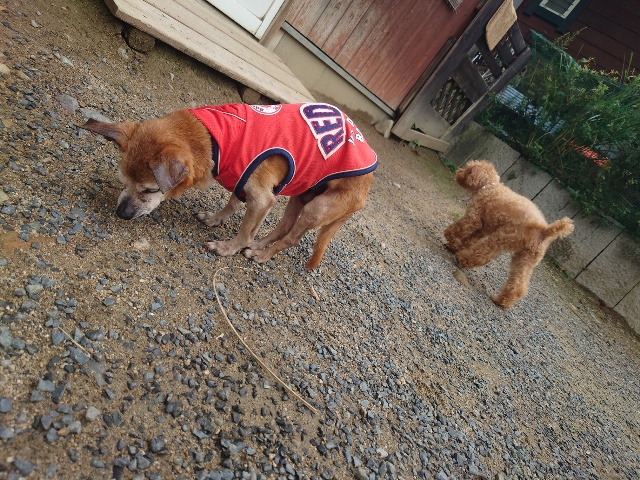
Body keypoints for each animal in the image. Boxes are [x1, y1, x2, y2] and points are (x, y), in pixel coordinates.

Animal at [80, 103, 377, 269]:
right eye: (123, 182)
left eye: (150, 190)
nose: (121, 213)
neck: (214, 139)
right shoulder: (240, 180)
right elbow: (233, 203)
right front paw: (215, 218)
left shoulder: (261, 198)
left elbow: (244, 230)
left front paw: (226, 249)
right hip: (302, 196)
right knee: (283, 227)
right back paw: (260, 245)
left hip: (319, 208)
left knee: (292, 238)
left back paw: (262, 255)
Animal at [444, 160, 574, 308]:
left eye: (468, 169)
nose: (458, 171)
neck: (489, 186)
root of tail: (544, 229)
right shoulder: (484, 228)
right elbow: (470, 239)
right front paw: (455, 246)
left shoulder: (474, 217)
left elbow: (459, 228)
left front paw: (449, 240)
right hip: (526, 258)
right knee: (518, 285)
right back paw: (502, 301)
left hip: (501, 238)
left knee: (481, 255)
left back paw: (461, 259)